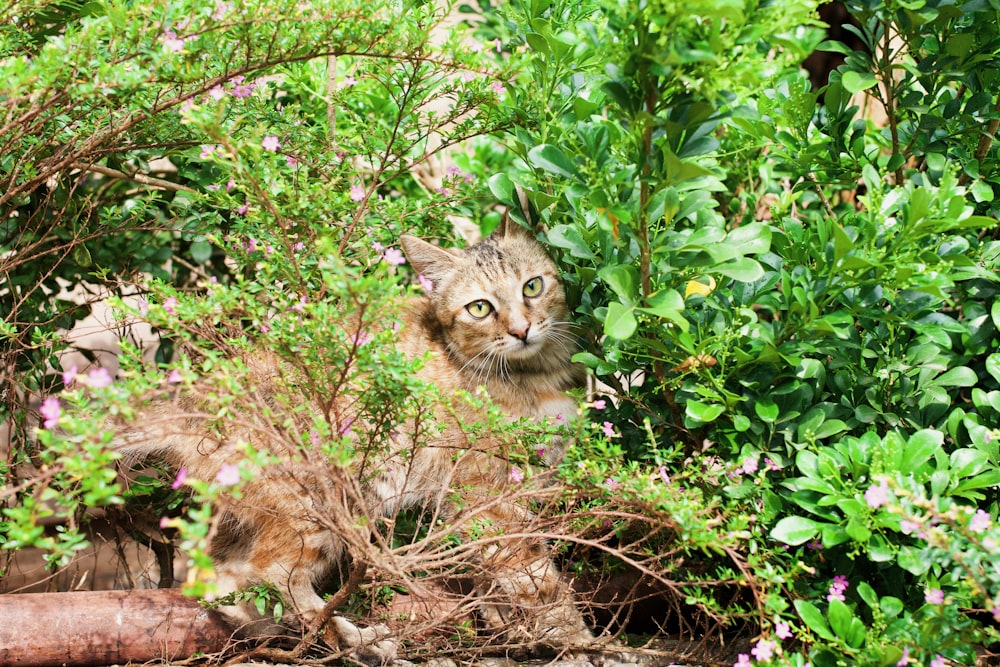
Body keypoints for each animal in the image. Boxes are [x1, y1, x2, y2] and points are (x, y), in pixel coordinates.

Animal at [114, 217, 592, 664]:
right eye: (479, 308)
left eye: (533, 286)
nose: (521, 329)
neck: (536, 374)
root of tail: (199, 397)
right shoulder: (488, 496)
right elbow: (534, 577)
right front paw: (574, 640)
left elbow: (494, 571)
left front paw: (504, 623)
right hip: (321, 504)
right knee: (273, 573)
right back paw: (356, 640)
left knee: (219, 583)